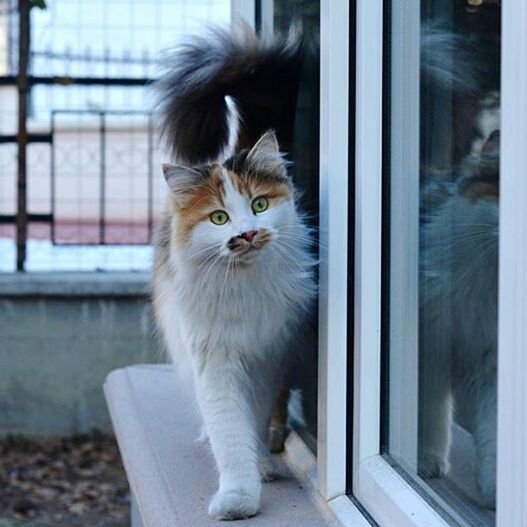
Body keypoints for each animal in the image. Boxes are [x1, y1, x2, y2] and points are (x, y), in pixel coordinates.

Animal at [151, 25, 316, 520]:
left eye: (259, 205)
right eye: (219, 218)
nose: (246, 234)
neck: (242, 287)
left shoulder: (268, 356)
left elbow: (253, 420)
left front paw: (257, 470)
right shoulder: (215, 358)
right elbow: (229, 429)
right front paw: (238, 495)